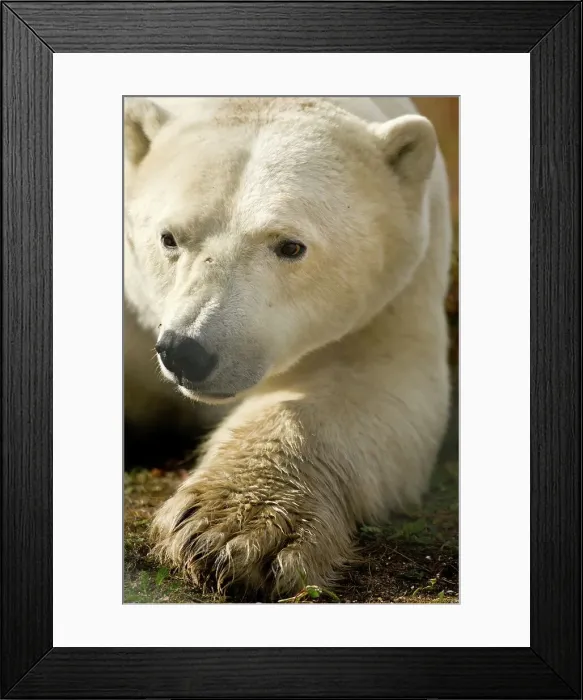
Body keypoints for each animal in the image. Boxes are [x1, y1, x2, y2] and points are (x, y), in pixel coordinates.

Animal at [123, 96, 452, 597]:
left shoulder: (396, 292)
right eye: (168, 238)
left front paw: (233, 531)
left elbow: (373, 384)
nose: (186, 352)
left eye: (291, 246)